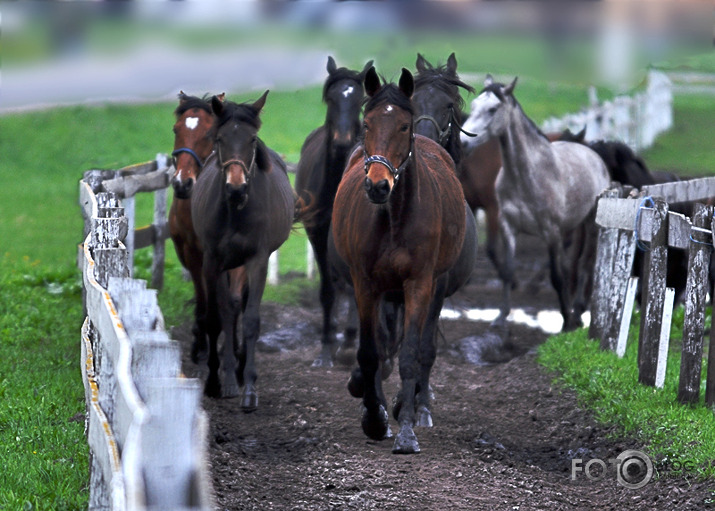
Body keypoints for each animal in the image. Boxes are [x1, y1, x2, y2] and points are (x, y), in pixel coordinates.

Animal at [192, 93, 296, 412]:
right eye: (220, 138)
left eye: (251, 139)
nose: (236, 188)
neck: (236, 211)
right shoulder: (212, 262)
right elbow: (218, 318)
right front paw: (218, 381)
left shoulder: (257, 261)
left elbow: (250, 320)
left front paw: (249, 387)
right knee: (228, 310)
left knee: (240, 305)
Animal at [296, 56, 374, 368]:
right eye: (330, 98)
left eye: (360, 100)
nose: (342, 141)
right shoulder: (316, 232)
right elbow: (328, 289)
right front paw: (326, 349)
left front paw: (351, 342)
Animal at [332, 68, 478, 456]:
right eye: (367, 123)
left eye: (402, 126)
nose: (377, 185)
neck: (394, 217)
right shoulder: (367, 284)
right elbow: (371, 353)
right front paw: (375, 417)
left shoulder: (422, 284)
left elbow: (413, 353)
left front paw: (408, 428)